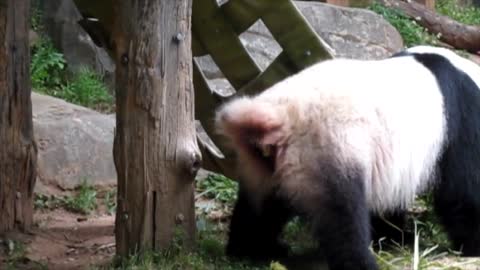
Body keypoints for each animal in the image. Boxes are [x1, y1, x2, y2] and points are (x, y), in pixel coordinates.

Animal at [216, 46, 480, 270]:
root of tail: (278, 116)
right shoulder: (461, 119)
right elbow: (460, 190)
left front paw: (394, 237)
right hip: (327, 147)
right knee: (342, 216)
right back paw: (361, 263)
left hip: (260, 165)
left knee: (260, 207)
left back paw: (254, 249)